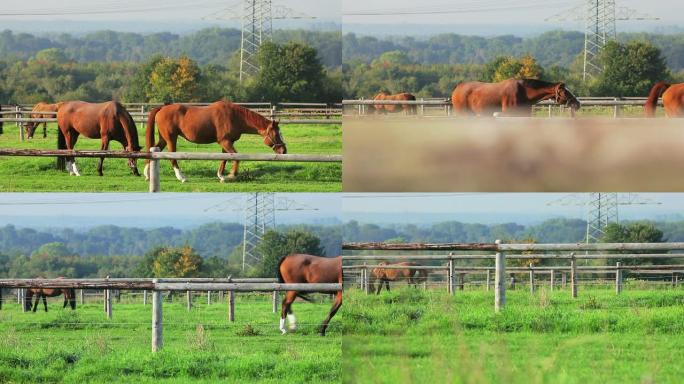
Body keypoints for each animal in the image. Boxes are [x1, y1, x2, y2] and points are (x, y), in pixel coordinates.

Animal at [144, 100, 286, 182]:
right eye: (276, 134)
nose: (284, 150)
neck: (234, 116)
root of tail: (162, 109)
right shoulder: (225, 142)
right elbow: (236, 157)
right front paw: (232, 175)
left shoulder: (227, 143)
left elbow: (224, 159)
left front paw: (221, 176)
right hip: (171, 139)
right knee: (172, 157)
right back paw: (181, 177)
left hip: (164, 139)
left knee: (154, 150)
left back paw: (148, 174)